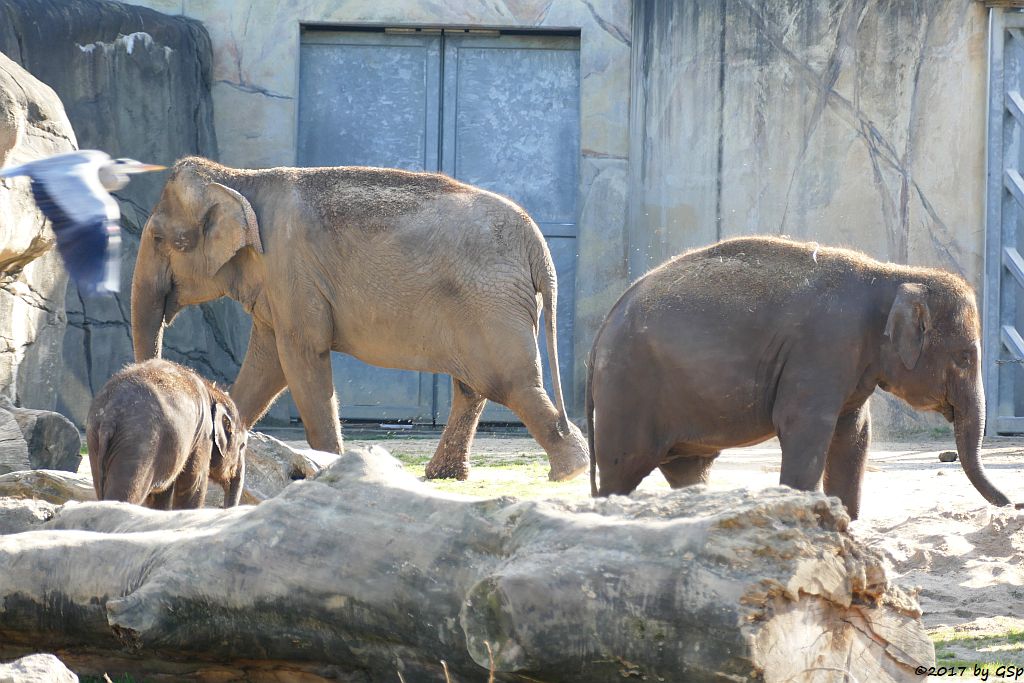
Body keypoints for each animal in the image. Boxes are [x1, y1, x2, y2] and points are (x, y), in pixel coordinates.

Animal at [87, 358, 246, 507]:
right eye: (243, 445)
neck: (212, 391)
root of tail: (110, 413)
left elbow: (162, 494)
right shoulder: (203, 436)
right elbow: (193, 484)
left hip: (95, 439)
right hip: (138, 446)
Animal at [132, 158, 589, 483]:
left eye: (161, 239)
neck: (240, 179)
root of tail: (538, 246)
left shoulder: (291, 271)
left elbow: (300, 357)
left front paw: (328, 466)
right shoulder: (277, 285)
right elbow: (268, 364)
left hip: (490, 304)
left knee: (510, 383)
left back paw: (572, 470)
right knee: (475, 386)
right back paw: (444, 475)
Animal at [585, 235, 1015, 518]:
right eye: (965, 357)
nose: (1013, 505)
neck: (893, 275)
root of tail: (602, 328)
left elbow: (853, 435)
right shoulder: (823, 347)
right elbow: (805, 429)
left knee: (687, 471)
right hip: (628, 391)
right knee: (621, 472)